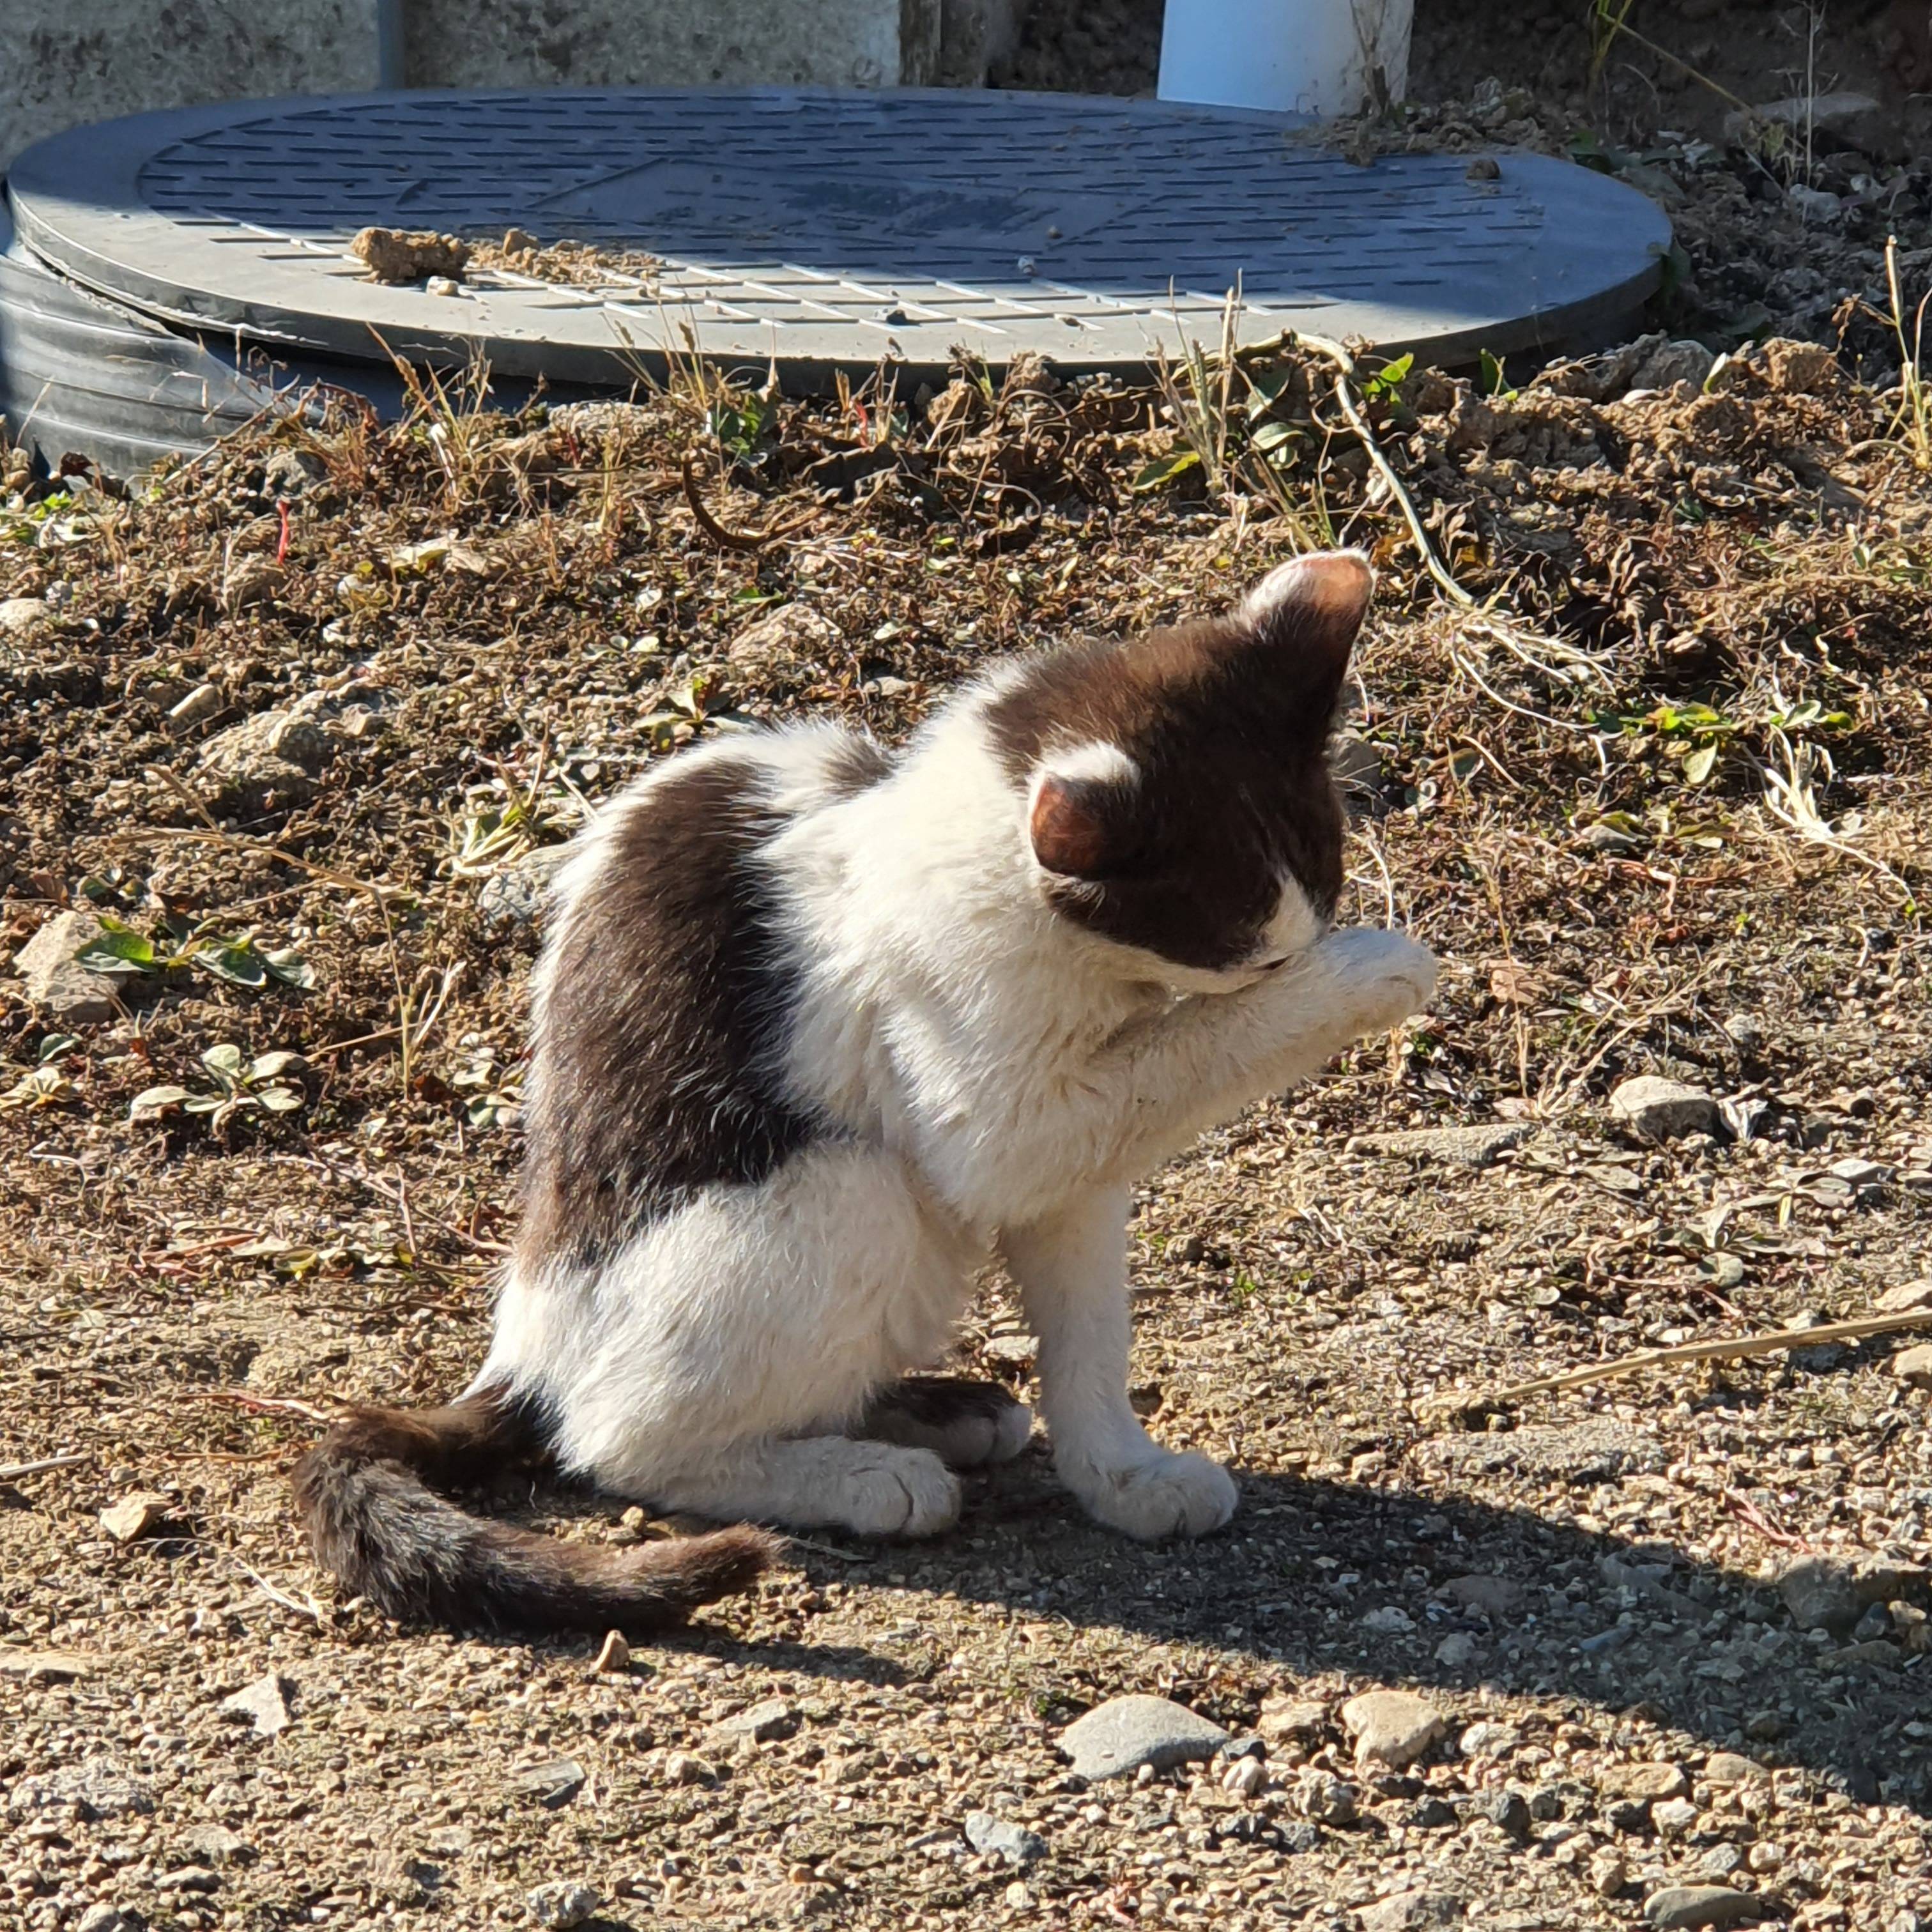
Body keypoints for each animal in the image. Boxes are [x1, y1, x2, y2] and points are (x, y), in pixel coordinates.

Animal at [297, 552, 1437, 1638]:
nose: (1310, 956)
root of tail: (520, 1354)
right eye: (1258, 962)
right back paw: (864, 1476)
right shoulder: (1005, 1125)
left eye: (1322, 890)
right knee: (620, 1440)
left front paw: (1123, 1476)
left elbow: (1090, 1335)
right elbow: (1191, 1050)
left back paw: (931, 1412)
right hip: (850, 1189)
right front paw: (1371, 975)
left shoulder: (1073, 1177)